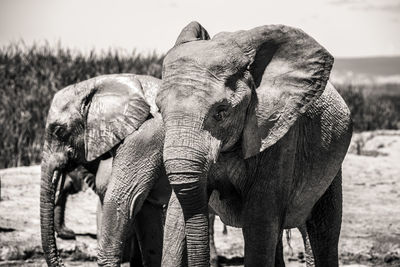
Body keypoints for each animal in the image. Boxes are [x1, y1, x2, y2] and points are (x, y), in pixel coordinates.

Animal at [155, 22, 350, 266]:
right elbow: (176, 218)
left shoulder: (280, 134)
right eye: (159, 110)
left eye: (221, 112)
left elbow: (260, 223)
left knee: (322, 232)